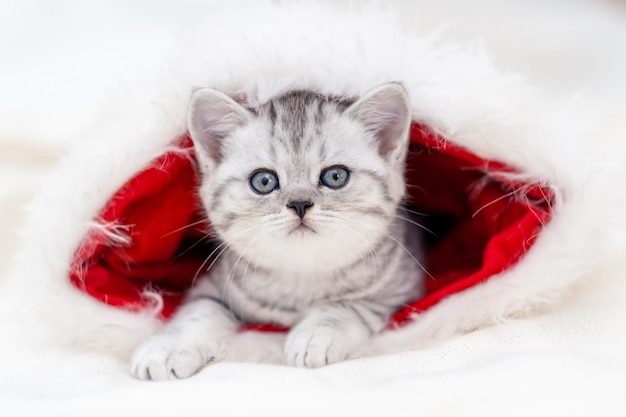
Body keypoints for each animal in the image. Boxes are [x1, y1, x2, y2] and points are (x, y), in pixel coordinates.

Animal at [129, 83, 422, 378]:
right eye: (264, 181)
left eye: (336, 176)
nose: (300, 203)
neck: (301, 274)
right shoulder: (212, 285)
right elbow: (198, 312)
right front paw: (166, 348)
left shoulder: (400, 284)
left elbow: (345, 305)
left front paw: (316, 335)